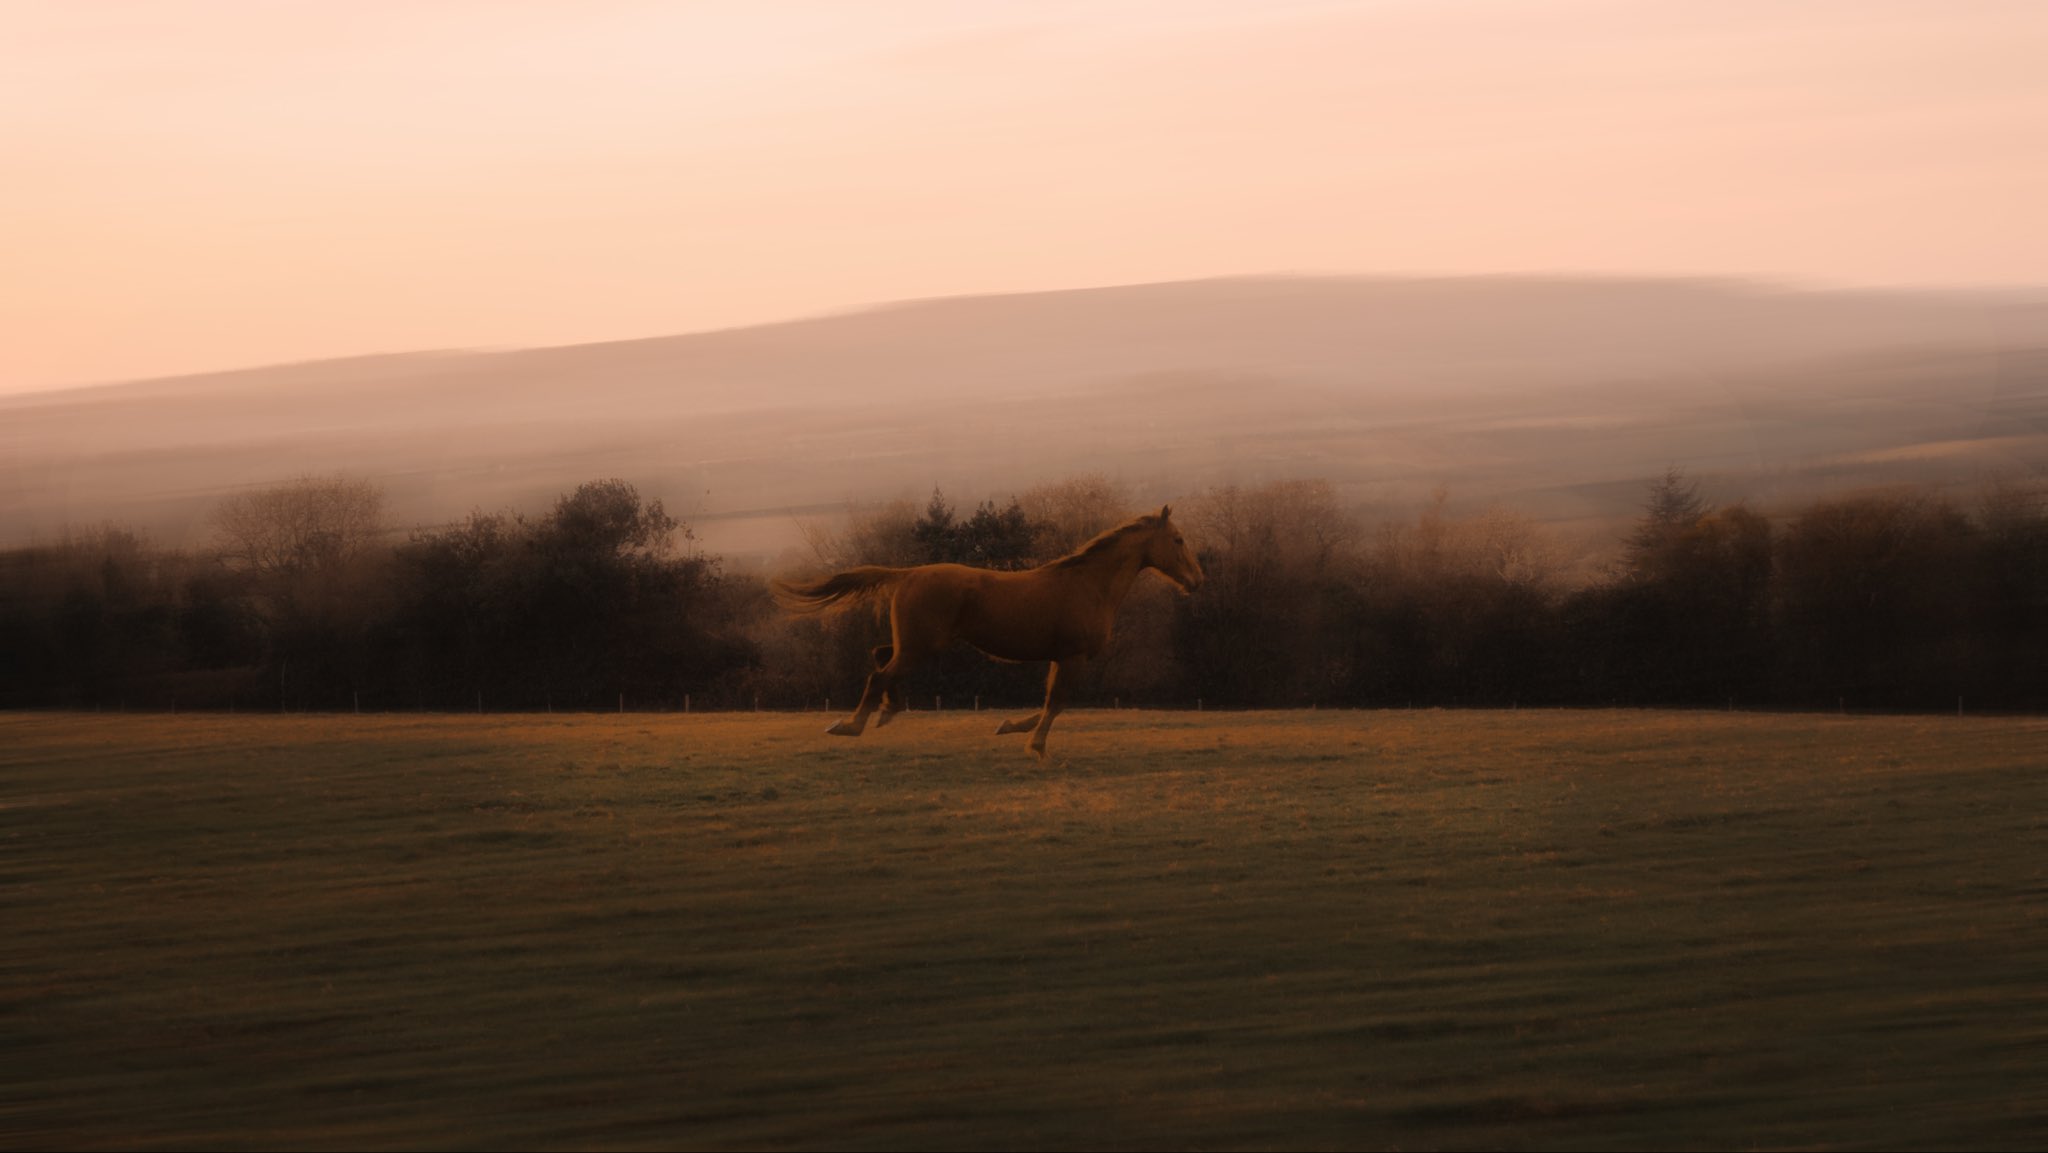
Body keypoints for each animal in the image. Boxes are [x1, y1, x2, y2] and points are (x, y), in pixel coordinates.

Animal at [772, 506, 1204, 758]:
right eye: (1178, 539)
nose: (1197, 581)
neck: (1089, 584)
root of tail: (908, 574)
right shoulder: (1073, 656)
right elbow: (1057, 702)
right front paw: (1035, 745)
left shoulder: (1059, 657)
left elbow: (1049, 702)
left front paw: (1011, 728)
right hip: (920, 647)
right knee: (879, 673)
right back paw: (850, 725)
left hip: (916, 644)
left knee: (880, 657)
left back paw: (886, 713)